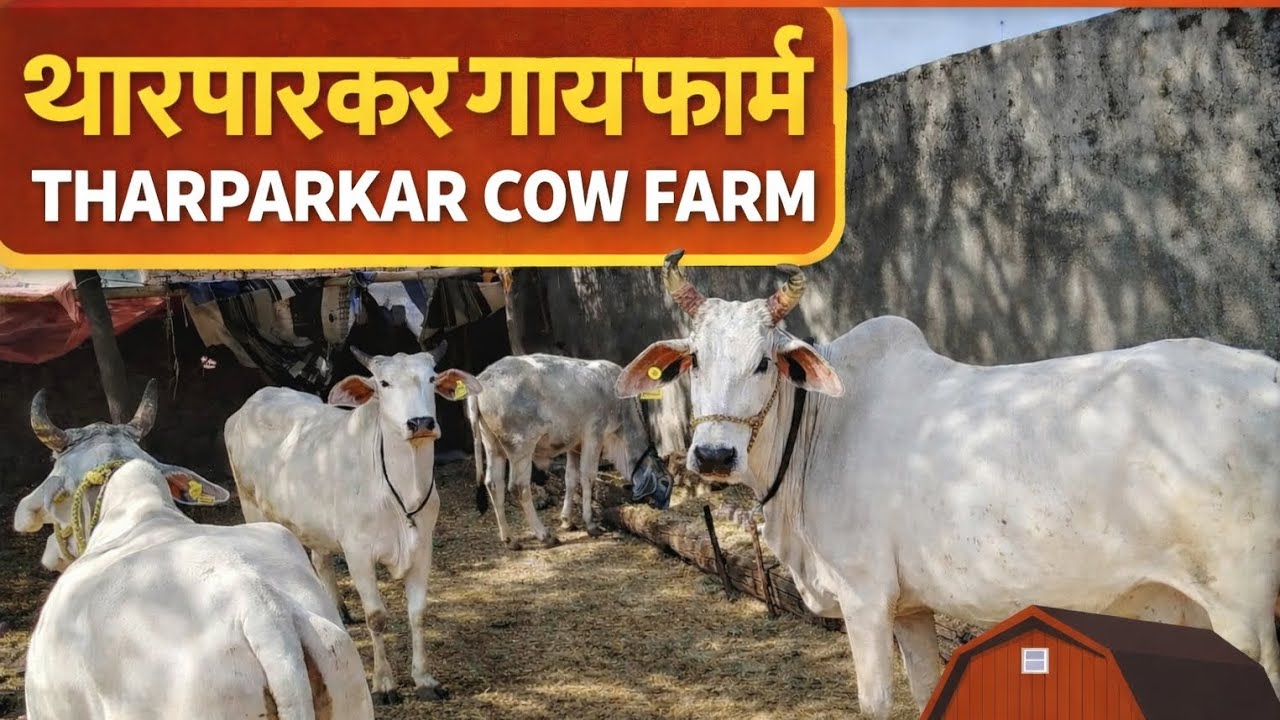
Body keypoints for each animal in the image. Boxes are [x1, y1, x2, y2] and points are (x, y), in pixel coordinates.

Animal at [223, 342, 483, 704]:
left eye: (432, 378)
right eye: (384, 383)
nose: (420, 422)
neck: (402, 488)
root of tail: (250, 404)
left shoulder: (423, 548)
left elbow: (417, 612)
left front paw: (424, 679)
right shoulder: (359, 553)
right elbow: (377, 617)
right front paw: (385, 683)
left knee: (320, 560)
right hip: (252, 508)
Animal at [466, 353, 672, 549]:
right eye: (665, 482)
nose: (666, 506)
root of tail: (483, 380)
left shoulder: (575, 445)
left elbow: (571, 478)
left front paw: (567, 520)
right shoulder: (594, 434)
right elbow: (588, 477)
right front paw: (590, 524)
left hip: (493, 446)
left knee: (494, 484)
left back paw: (509, 539)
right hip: (520, 446)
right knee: (518, 487)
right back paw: (545, 536)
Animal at [614, 249, 1280, 719]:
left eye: (762, 363)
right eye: (695, 361)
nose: (714, 454)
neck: (822, 429)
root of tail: (1265, 372)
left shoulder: (864, 597)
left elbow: (875, 704)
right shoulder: (910, 607)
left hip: (1243, 612)